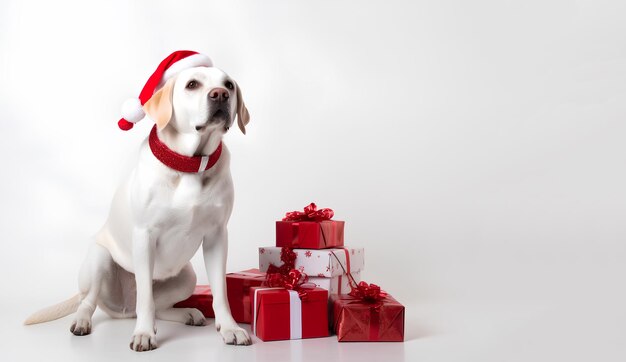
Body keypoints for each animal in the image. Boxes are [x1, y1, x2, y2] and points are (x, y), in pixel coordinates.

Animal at [23, 53, 254, 350]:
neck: (189, 165)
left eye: (229, 85)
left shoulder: (216, 236)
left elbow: (220, 293)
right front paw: (144, 333)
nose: (220, 95)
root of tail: (123, 310)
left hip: (187, 276)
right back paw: (83, 322)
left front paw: (229, 328)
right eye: (192, 84)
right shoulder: (145, 236)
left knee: (160, 306)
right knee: (90, 302)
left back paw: (187, 313)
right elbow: (145, 297)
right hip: (99, 259)